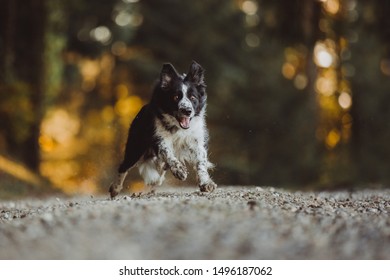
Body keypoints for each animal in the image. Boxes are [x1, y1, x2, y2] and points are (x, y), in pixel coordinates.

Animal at [109, 60, 216, 199]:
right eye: (176, 97)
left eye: (193, 98)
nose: (187, 111)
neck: (178, 127)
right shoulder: (159, 137)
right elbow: (167, 153)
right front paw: (179, 170)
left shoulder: (196, 140)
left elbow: (201, 161)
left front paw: (206, 182)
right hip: (135, 147)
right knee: (124, 166)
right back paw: (115, 189)